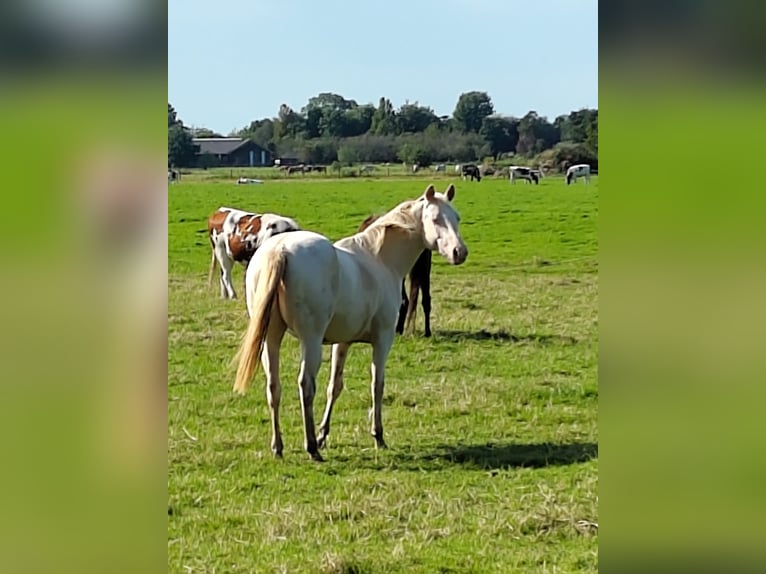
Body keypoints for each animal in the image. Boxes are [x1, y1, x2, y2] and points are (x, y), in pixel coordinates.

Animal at [231, 186, 468, 464]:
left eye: (457, 217)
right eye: (436, 219)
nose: (459, 252)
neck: (379, 260)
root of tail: (281, 250)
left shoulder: (342, 343)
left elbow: (335, 386)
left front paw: (324, 435)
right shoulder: (383, 340)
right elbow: (377, 384)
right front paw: (378, 436)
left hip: (272, 338)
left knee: (273, 387)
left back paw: (279, 447)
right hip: (310, 341)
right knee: (305, 385)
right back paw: (310, 448)